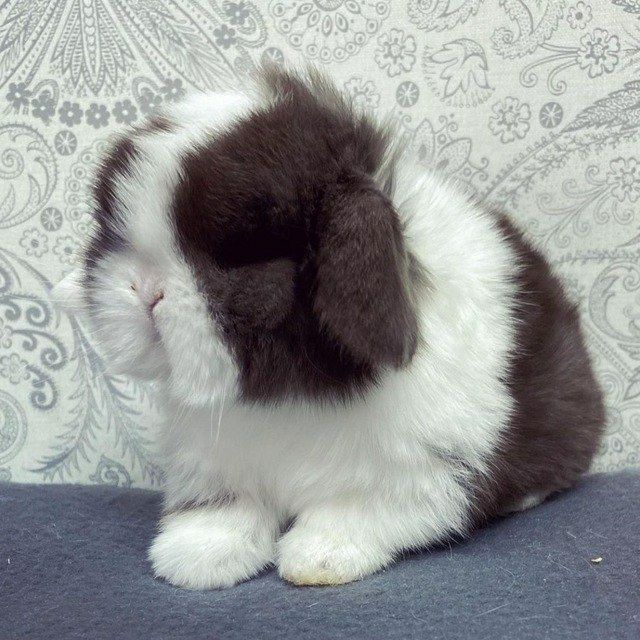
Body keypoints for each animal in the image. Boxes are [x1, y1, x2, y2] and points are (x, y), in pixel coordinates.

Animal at [52, 67, 605, 589]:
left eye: (244, 257)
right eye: (114, 236)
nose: (145, 290)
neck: (287, 395)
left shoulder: (416, 475)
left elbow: (352, 515)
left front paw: (317, 559)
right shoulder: (214, 465)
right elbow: (227, 513)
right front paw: (193, 560)